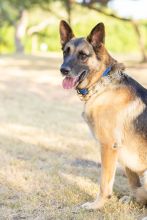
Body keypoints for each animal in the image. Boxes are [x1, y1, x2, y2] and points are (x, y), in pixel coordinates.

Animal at [58, 20, 147, 210]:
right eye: (65, 52)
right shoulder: (122, 154)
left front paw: (97, 205)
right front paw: (133, 199)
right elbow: (133, 183)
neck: (101, 83)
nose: (63, 70)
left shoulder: (108, 146)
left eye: (83, 55)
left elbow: (104, 183)